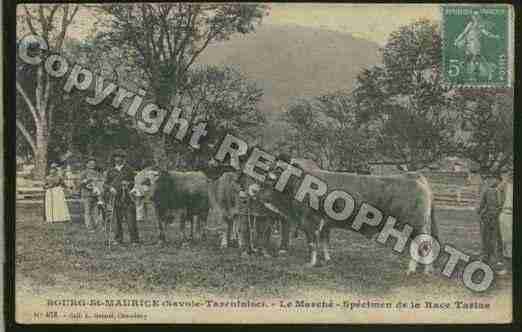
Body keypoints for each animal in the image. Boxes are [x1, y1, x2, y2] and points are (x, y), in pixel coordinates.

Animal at [258, 159, 436, 274]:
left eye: (269, 180)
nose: (254, 192)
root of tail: (413, 175)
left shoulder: (310, 221)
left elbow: (312, 243)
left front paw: (311, 263)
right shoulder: (325, 224)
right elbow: (325, 242)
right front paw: (327, 260)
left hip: (415, 225)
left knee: (422, 245)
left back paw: (412, 270)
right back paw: (425, 270)